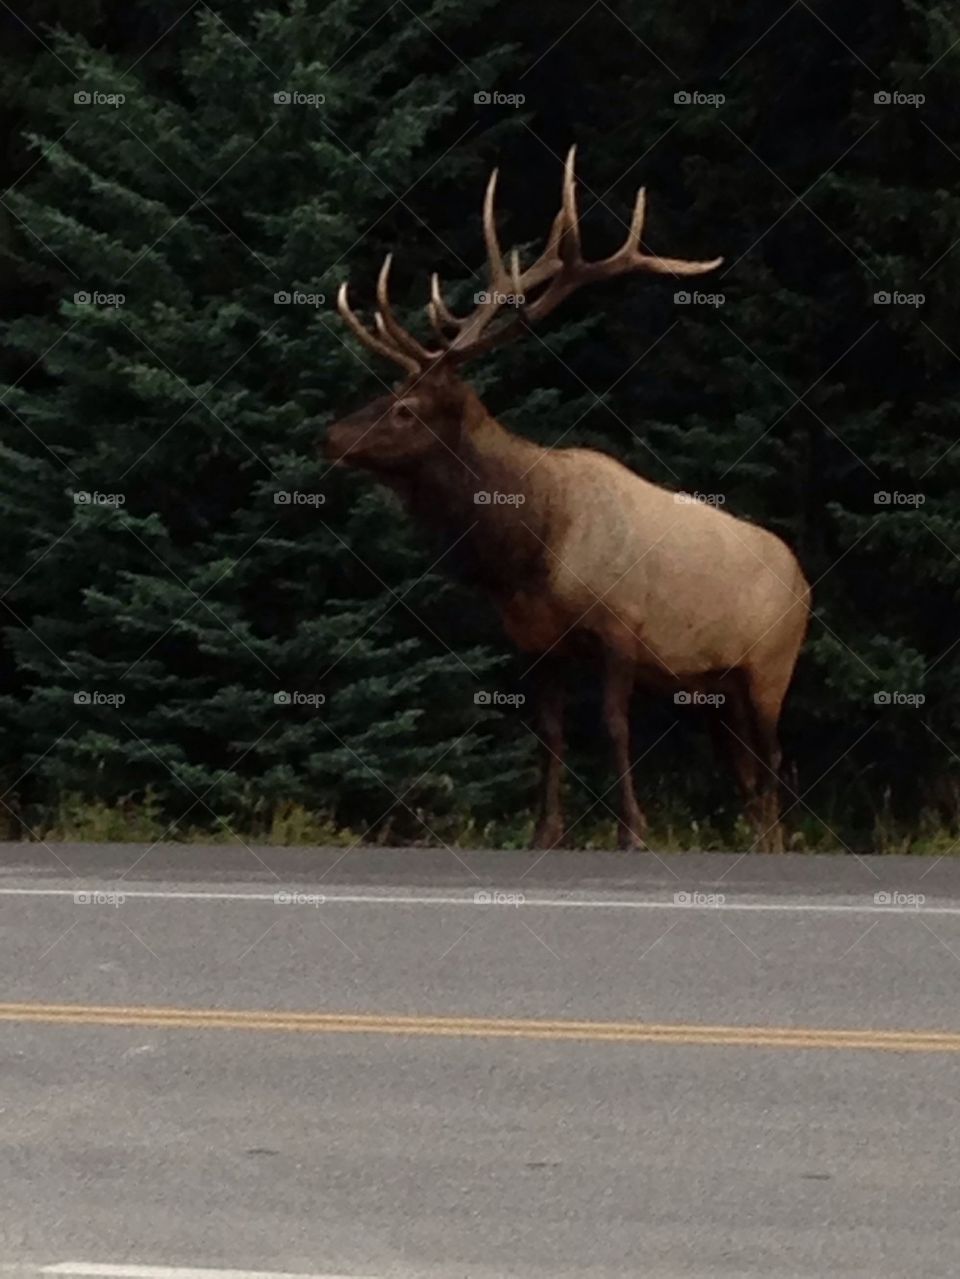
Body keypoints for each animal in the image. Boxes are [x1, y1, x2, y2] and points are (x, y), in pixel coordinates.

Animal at [326, 146, 811, 852]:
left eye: (405, 408)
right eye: (384, 392)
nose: (329, 435)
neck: (528, 554)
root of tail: (804, 579)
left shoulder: (621, 627)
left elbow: (613, 728)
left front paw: (633, 833)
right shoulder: (535, 642)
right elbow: (549, 736)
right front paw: (544, 833)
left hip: (770, 665)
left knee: (772, 760)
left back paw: (770, 844)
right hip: (713, 688)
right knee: (746, 772)